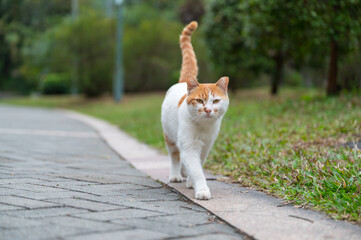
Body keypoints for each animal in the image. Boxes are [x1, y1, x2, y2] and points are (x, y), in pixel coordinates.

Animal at [160, 21, 228, 201]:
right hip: (169, 137)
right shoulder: (189, 146)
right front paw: (202, 189)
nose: (208, 110)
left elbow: (198, 166)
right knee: (175, 157)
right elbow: (196, 170)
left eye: (215, 101)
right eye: (199, 101)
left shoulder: (206, 146)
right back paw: (176, 175)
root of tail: (184, 81)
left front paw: (191, 182)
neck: (203, 127)